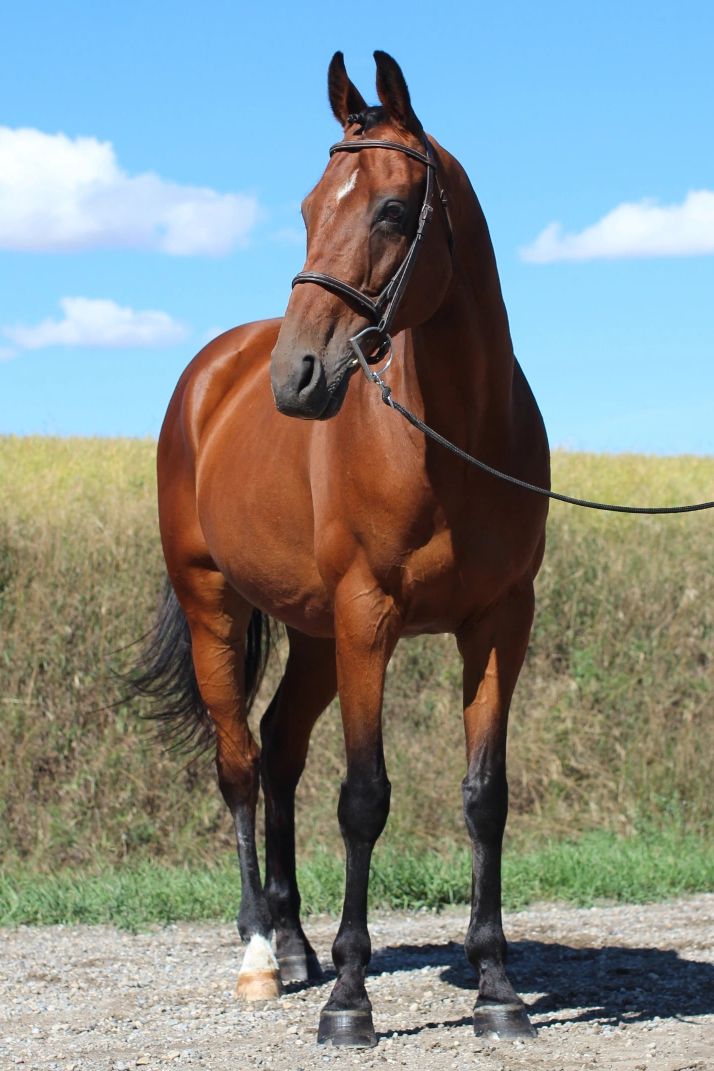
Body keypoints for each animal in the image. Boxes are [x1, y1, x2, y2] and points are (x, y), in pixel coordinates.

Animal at [138, 49, 550, 1048]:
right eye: (305, 206)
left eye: (394, 210)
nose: (297, 378)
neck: (452, 437)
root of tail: (211, 375)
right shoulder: (372, 616)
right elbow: (363, 798)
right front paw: (351, 1003)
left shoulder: (499, 622)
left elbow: (486, 796)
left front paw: (497, 988)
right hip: (219, 611)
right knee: (240, 765)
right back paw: (261, 955)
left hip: (318, 635)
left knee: (281, 747)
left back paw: (295, 944)